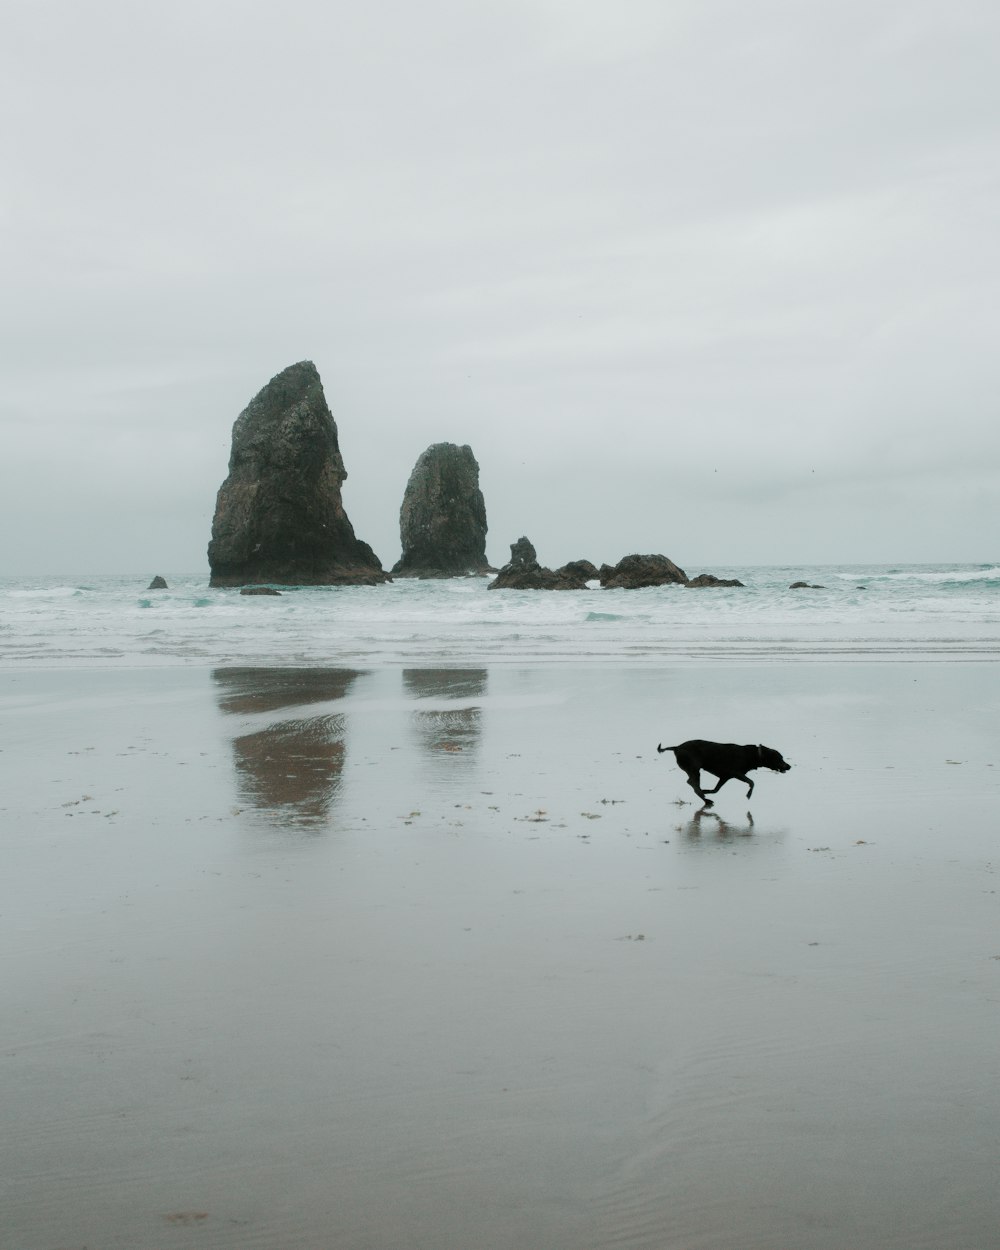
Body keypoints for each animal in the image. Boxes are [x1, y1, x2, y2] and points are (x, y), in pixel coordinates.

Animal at [655, 735, 790, 805]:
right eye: (780, 758)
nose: (789, 766)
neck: (754, 754)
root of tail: (676, 748)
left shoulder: (725, 777)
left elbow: (716, 790)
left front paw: (707, 790)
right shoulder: (736, 773)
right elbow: (752, 782)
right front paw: (748, 795)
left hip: (694, 770)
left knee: (692, 783)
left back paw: (704, 795)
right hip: (694, 768)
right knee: (692, 783)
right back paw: (706, 800)